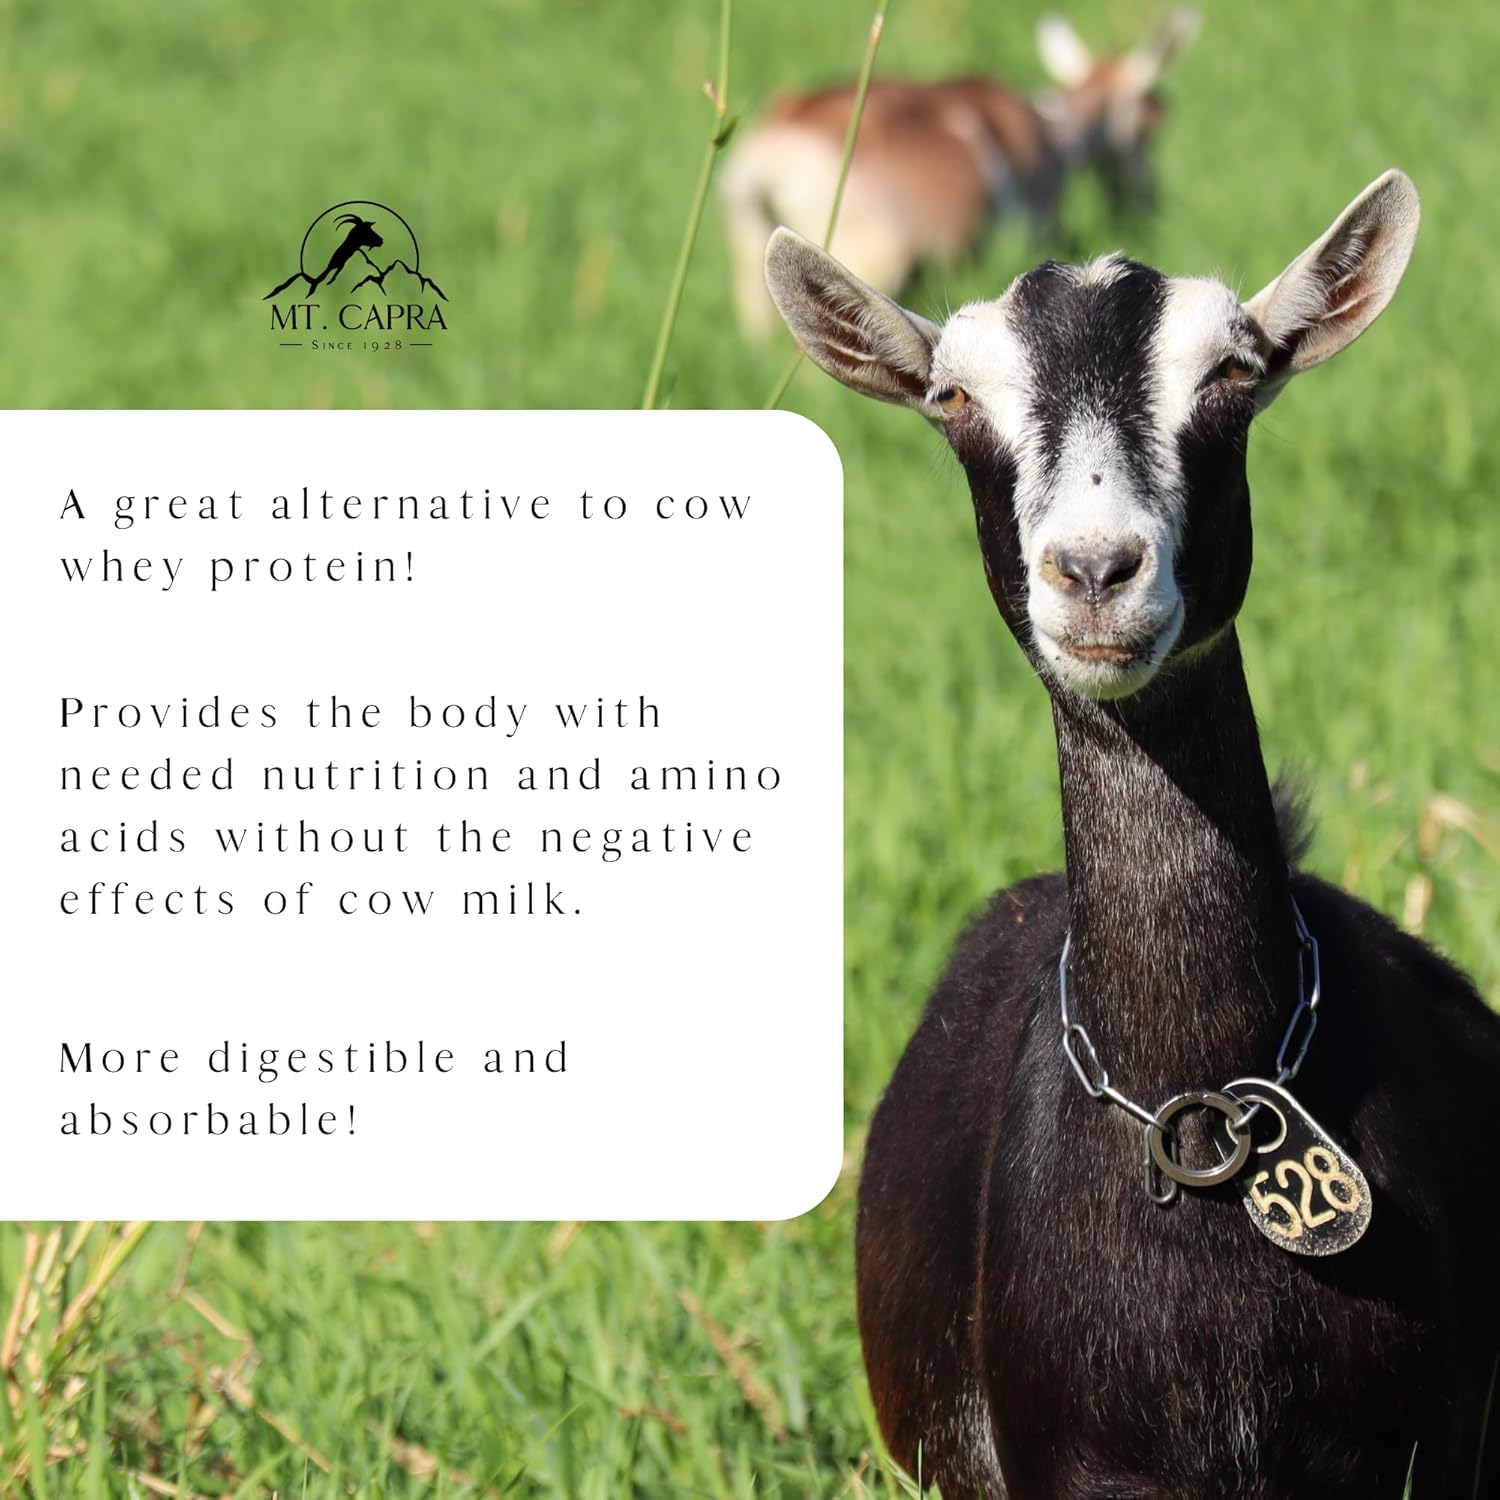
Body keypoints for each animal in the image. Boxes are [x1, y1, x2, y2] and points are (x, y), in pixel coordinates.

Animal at [723, 9, 1198, 341]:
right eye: (1150, 123)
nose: (1149, 200)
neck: (1054, 131)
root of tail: (773, 152)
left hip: (754, 247)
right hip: (865, 256)